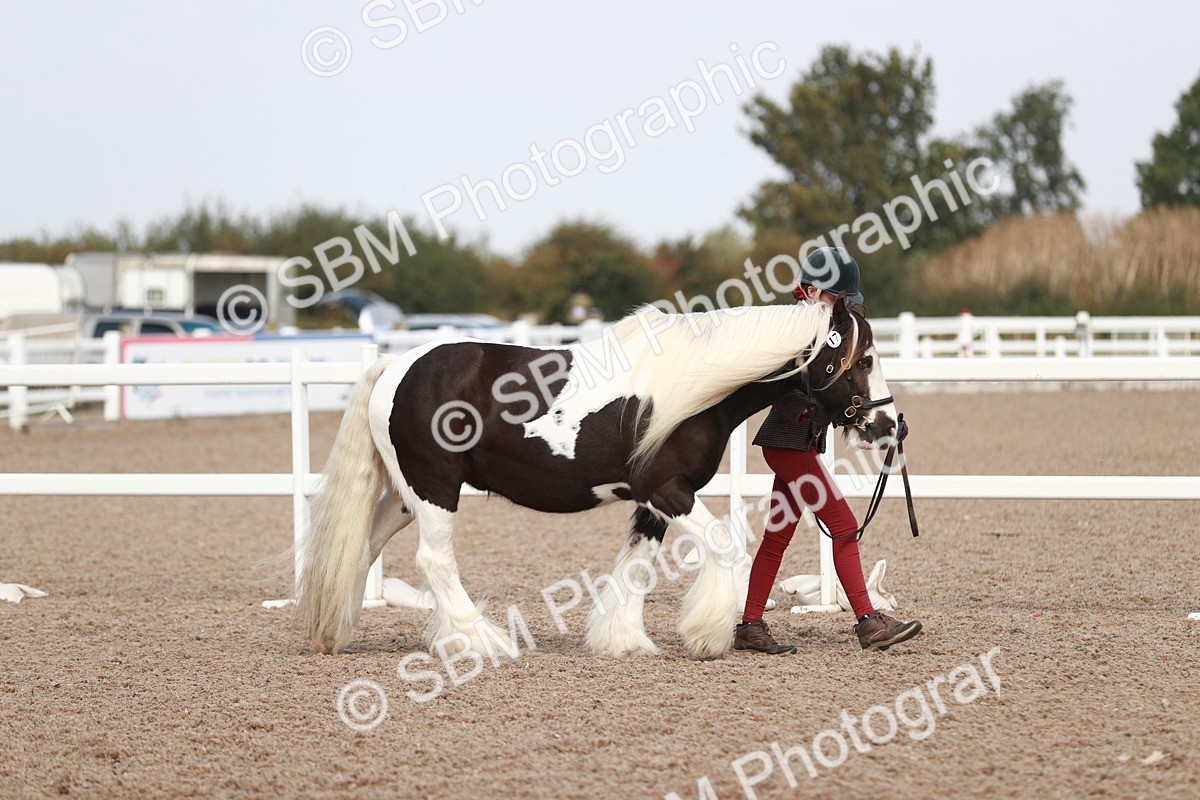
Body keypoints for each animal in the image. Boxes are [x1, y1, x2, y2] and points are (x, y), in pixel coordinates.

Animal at [295, 295, 899, 659]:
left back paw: (335, 630)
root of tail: (395, 367)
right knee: (434, 562)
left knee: (363, 547)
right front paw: (707, 634)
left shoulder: (653, 500)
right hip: (435, 490)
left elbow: (635, 565)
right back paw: (483, 641)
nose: (890, 425)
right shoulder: (667, 490)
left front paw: (622, 640)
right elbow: (725, 545)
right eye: (866, 357)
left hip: (406, 496)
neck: (691, 388)